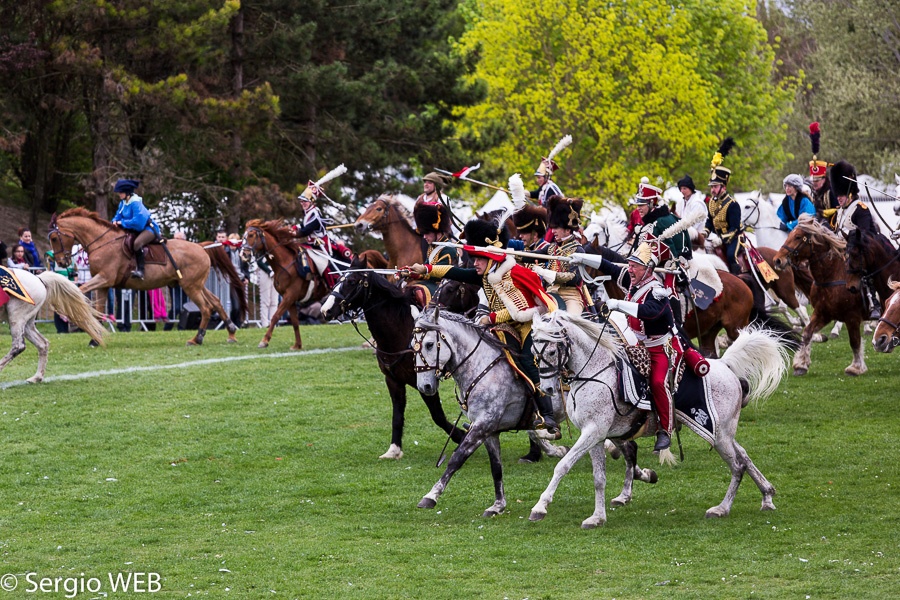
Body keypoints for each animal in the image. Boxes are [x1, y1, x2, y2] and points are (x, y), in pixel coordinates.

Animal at [48, 207, 246, 344]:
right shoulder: (103, 285)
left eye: (54, 238)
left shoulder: (104, 278)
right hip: (195, 284)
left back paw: (197, 339)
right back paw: (231, 331)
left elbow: (79, 291)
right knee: (216, 302)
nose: (62, 262)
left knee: (206, 308)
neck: (102, 242)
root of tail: (201, 247)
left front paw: (71, 317)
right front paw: (94, 339)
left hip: (191, 286)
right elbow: (97, 308)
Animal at [412, 308, 568, 516]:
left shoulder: (482, 425)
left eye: (429, 344)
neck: (481, 367)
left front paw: (431, 496)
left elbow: (457, 458)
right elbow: (496, 467)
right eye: (412, 347)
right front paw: (498, 505)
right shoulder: (489, 431)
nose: (425, 386)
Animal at [532, 312, 792, 528]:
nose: (546, 389)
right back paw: (767, 496)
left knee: (737, 466)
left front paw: (540, 507)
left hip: (718, 435)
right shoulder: (595, 435)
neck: (595, 371)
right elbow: (599, 478)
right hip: (722, 433)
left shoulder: (593, 431)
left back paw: (722, 509)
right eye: (534, 355)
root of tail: (725, 366)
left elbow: (563, 465)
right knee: (744, 457)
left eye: (552, 352)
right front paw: (597, 517)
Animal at [768, 216, 868, 376]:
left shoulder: (851, 316)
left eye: (797, 237)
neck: (833, 276)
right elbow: (807, 332)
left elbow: (855, 341)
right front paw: (801, 364)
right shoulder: (822, 313)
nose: (777, 260)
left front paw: (856, 367)